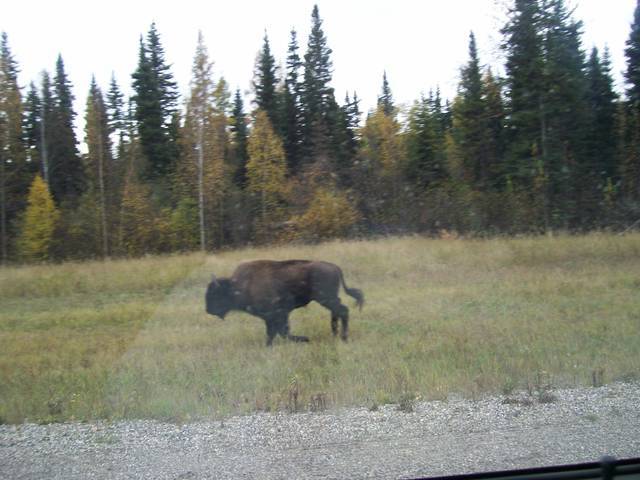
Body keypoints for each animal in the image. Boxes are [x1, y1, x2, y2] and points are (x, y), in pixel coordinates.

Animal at [205, 260, 364, 346]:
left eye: (215, 294)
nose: (208, 310)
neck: (240, 286)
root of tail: (335, 267)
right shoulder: (272, 317)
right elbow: (274, 332)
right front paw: (268, 346)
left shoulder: (276, 314)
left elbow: (280, 332)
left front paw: (305, 339)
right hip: (328, 299)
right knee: (337, 311)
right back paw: (335, 334)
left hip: (326, 298)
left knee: (343, 310)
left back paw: (343, 337)